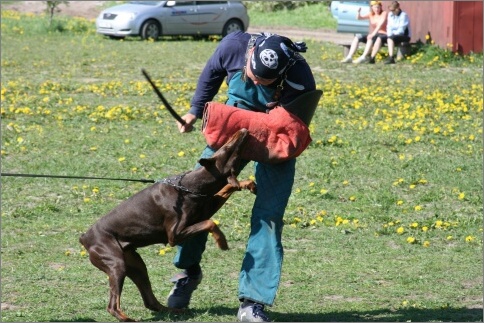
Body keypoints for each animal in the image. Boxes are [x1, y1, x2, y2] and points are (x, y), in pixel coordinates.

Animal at [78, 128, 258, 322]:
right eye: (228, 148)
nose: (243, 130)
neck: (189, 187)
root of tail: (85, 237)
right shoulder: (175, 234)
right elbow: (210, 222)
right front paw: (222, 242)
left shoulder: (205, 207)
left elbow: (225, 191)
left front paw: (248, 184)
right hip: (115, 262)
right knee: (112, 305)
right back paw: (128, 318)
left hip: (135, 263)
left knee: (150, 300)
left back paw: (172, 310)